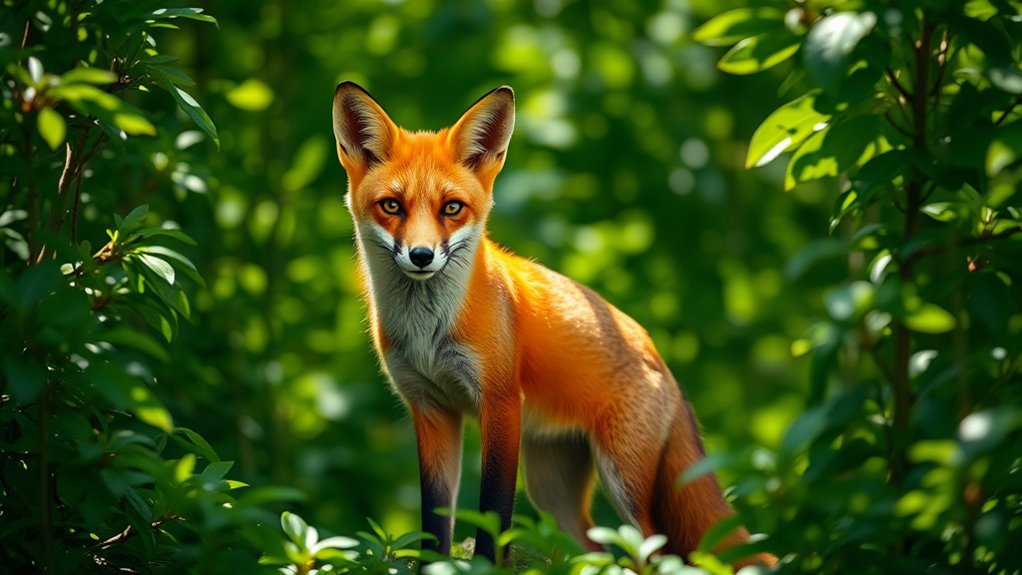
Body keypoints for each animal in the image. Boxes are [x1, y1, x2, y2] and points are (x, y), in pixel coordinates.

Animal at [330, 81, 776, 569]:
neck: (428, 333)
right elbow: (434, 521)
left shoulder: (501, 403)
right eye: (392, 205)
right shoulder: (429, 408)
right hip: (552, 487)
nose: (422, 256)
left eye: (452, 208)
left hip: (621, 479)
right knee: (594, 548)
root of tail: (656, 353)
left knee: (652, 553)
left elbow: (495, 514)